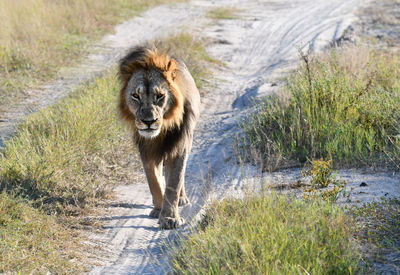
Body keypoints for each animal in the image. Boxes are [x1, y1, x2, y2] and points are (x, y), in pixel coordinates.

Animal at [118, 45, 200, 231]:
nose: (149, 121)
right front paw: (158, 208)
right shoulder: (146, 150)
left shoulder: (179, 147)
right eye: (136, 96)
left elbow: (174, 183)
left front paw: (169, 218)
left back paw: (182, 199)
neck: (160, 133)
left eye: (160, 96)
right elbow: (153, 180)